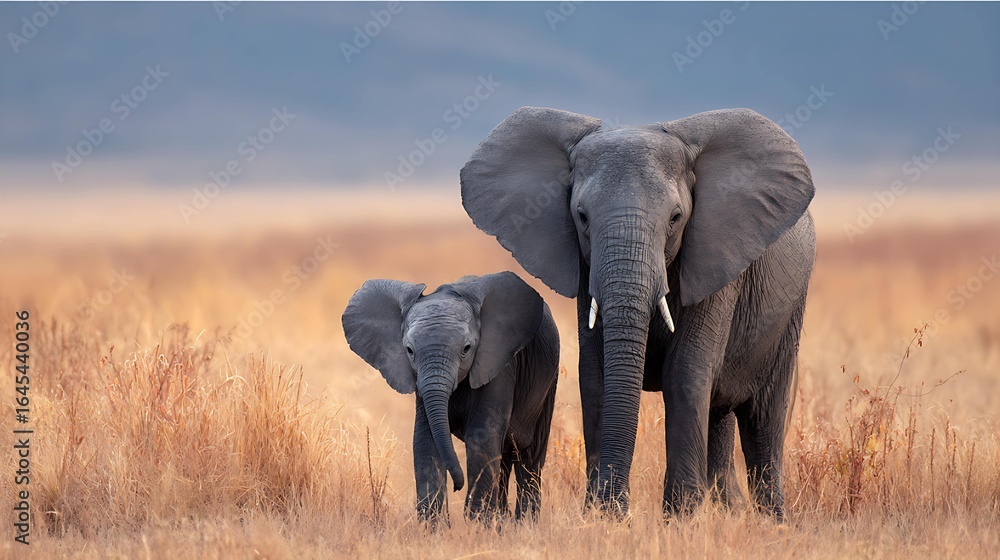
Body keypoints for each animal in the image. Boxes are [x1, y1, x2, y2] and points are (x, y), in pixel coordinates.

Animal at [342, 271, 560, 524]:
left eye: (466, 348)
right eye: (409, 351)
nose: (458, 486)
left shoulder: (499, 365)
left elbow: (482, 434)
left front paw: (477, 523)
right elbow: (425, 438)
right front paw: (435, 528)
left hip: (548, 383)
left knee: (530, 458)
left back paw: (524, 525)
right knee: (505, 459)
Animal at [460, 107, 815, 520]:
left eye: (676, 218)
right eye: (581, 217)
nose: (618, 508)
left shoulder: (717, 259)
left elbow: (686, 371)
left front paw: (680, 519)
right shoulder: (586, 269)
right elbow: (595, 374)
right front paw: (602, 516)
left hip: (790, 311)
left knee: (764, 418)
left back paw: (772, 521)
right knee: (721, 413)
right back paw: (730, 511)